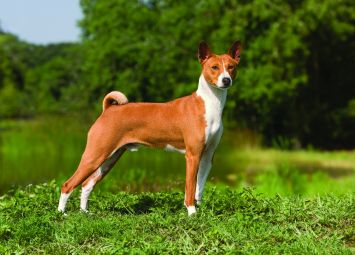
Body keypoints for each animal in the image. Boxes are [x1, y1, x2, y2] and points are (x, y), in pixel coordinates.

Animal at [58, 41, 242, 215]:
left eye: (231, 67)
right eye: (214, 67)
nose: (226, 80)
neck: (209, 104)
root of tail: (108, 110)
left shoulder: (207, 156)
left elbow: (199, 188)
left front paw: (200, 209)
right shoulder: (192, 155)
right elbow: (190, 188)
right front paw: (191, 212)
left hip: (110, 157)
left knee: (86, 184)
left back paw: (85, 213)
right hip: (94, 155)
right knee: (68, 184)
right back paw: (62, 214)